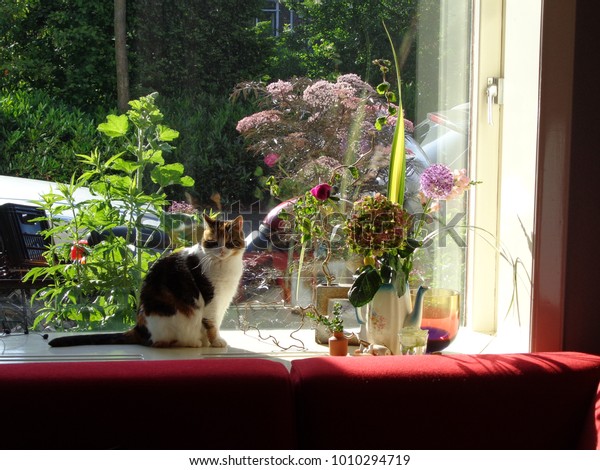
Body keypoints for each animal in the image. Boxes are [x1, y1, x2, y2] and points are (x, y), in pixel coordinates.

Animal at [48, 215, 246, 346]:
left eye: (229, 243)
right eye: (213, 242)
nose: (221, 251)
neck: (224, 264)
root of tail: (139, 329)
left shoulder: (223, 300)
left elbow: (216, 322)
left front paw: (212, 341)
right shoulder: (212, 300)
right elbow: (211, 324)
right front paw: (216, 342)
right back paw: (194, 342)